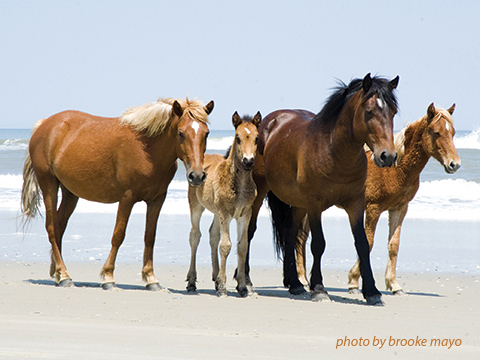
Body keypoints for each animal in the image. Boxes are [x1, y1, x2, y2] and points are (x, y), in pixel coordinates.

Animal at [22, 97, 214, 290]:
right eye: (181, 133)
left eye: (206, 133)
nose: (197, 176)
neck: (147, 150)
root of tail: (44, 125)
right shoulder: (127, 198)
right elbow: (118, 235)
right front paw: (108, 277)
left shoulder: (157, 200)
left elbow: (150, 237)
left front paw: (151, 278)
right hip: (49, 185)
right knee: (52, 228)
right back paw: (64, 275)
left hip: (70, 193)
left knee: (60, 227)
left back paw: (58, 273)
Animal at [188, 112, 262, 296]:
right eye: (237, 138)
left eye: (257, 138)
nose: (248, 161)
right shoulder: (226, 213)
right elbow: (226, 245)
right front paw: (222, 287)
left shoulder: (245, 214)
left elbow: (242, 246)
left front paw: (242, 287)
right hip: (196, 206)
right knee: (195, 236)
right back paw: (192, 282)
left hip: (216, 211)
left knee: (212, 235)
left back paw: (214, 278)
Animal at [246, 74, 400, 306]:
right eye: (369, 112)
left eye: (393, 112)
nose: (387, 156)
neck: (334, 151)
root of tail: (269, 121)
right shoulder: (315, 204)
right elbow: (318, 244)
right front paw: (318, 288)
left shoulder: (355, 204)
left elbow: (362, 244)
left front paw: (372, 291)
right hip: (261, 192)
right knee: (249, 231)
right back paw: (246, 282)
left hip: (298, 203)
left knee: (290, 235)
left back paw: (295, 284)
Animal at [344, 102, 462, 294]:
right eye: (435, 132)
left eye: (452, 132)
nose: (454, 164)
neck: (394, 169)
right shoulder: (373, 209)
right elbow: (368, 243)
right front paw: (354, 281)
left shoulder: (399, 208)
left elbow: (394, 245)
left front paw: (394, 284)